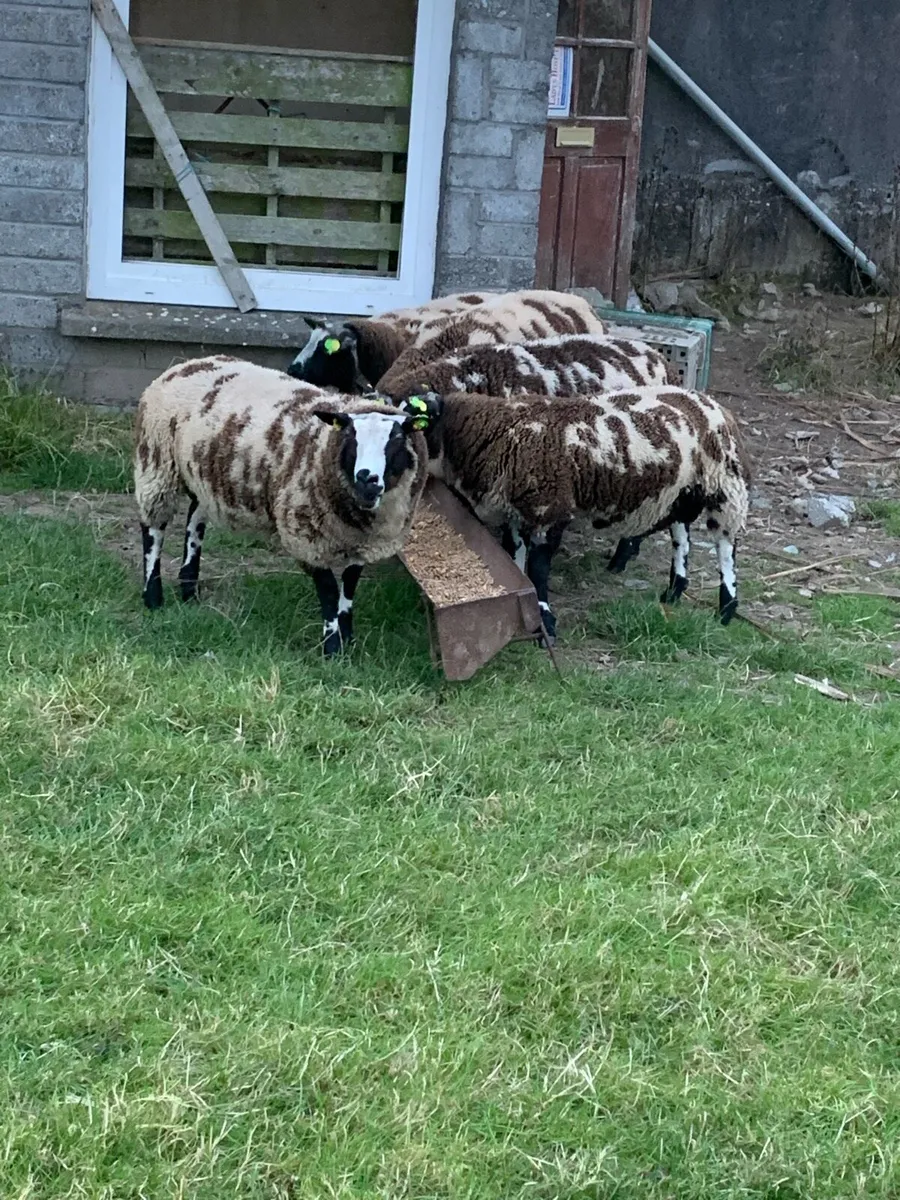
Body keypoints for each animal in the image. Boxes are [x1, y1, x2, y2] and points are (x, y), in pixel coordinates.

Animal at [134, 355, 439, 656]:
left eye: (397, 439)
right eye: (351, 436)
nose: (367, 479)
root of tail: (186, 364)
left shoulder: (362, 543)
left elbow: (349, 589)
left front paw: (348, 638)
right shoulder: (305, 535)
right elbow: (329, 591)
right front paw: (331, 648)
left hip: (201, 472)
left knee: (194, 520)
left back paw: (189, 590)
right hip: (157, 462)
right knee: (153, 529)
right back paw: (153, 596)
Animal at [394, 384, 751, 641]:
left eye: (410, 427)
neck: (496, 431)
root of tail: (712, 403)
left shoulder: (548, 510)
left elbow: (538, 570)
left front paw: (546, 623)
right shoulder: (517, 512)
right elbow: (514, 559)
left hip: (725, 487)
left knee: (725, 548)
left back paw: (727, 608)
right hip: (680, 491)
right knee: (681, 535)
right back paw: (674, 591)